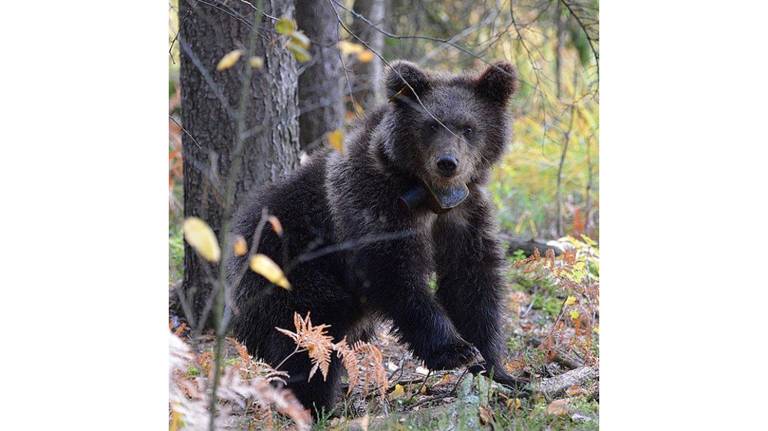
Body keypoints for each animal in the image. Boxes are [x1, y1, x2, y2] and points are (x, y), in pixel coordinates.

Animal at [230, 60, 520, 416]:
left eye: (468, 127)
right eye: (430, 125)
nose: (447, 163)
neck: (427, 197)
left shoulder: (463, 216)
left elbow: (471, 281)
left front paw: (495, 367)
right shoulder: (369, 203)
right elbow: (393, 274)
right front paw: (454, 349)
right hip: (290, 276)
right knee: (310, 340)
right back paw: (312, 404)